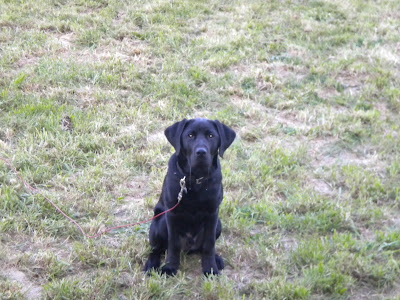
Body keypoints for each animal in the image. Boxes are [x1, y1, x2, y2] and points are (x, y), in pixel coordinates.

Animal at [144, 118, 236, 276]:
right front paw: (170, 267)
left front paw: (210, 268)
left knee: (203, 246)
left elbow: (209, 244)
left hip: (218, 224)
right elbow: (173, 244)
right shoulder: (172, 214)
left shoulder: (212, 213)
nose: (201, 152)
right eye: (190, 135)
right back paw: (151, 264)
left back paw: (216, 259)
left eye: (211, 136)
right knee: (156, 249)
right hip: (160, 223)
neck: (196, 179)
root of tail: (189, 247)